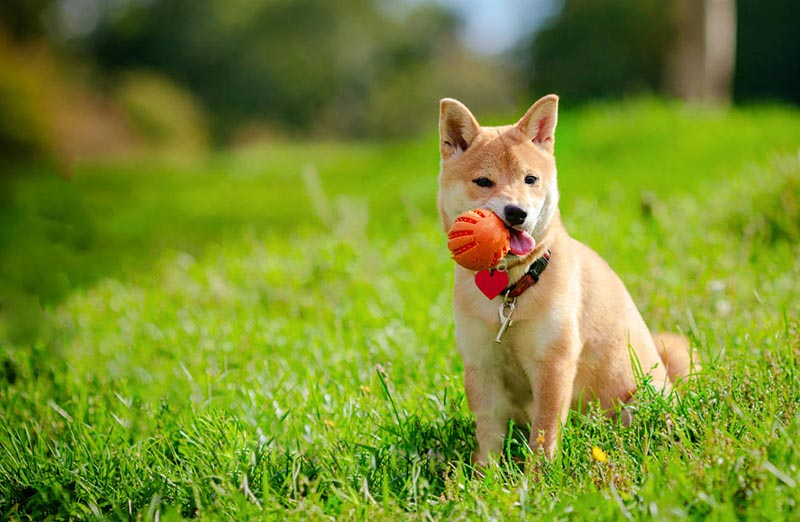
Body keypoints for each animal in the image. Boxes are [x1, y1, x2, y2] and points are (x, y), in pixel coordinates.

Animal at [438, 95, 692, 462]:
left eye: (530, 179)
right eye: (484, 181)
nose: (517, 213)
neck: (511, 290)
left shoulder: (553, 364)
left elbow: (543, 437)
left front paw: (538, 476)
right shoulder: (481, 366)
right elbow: (488, 441)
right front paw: (482, 477)